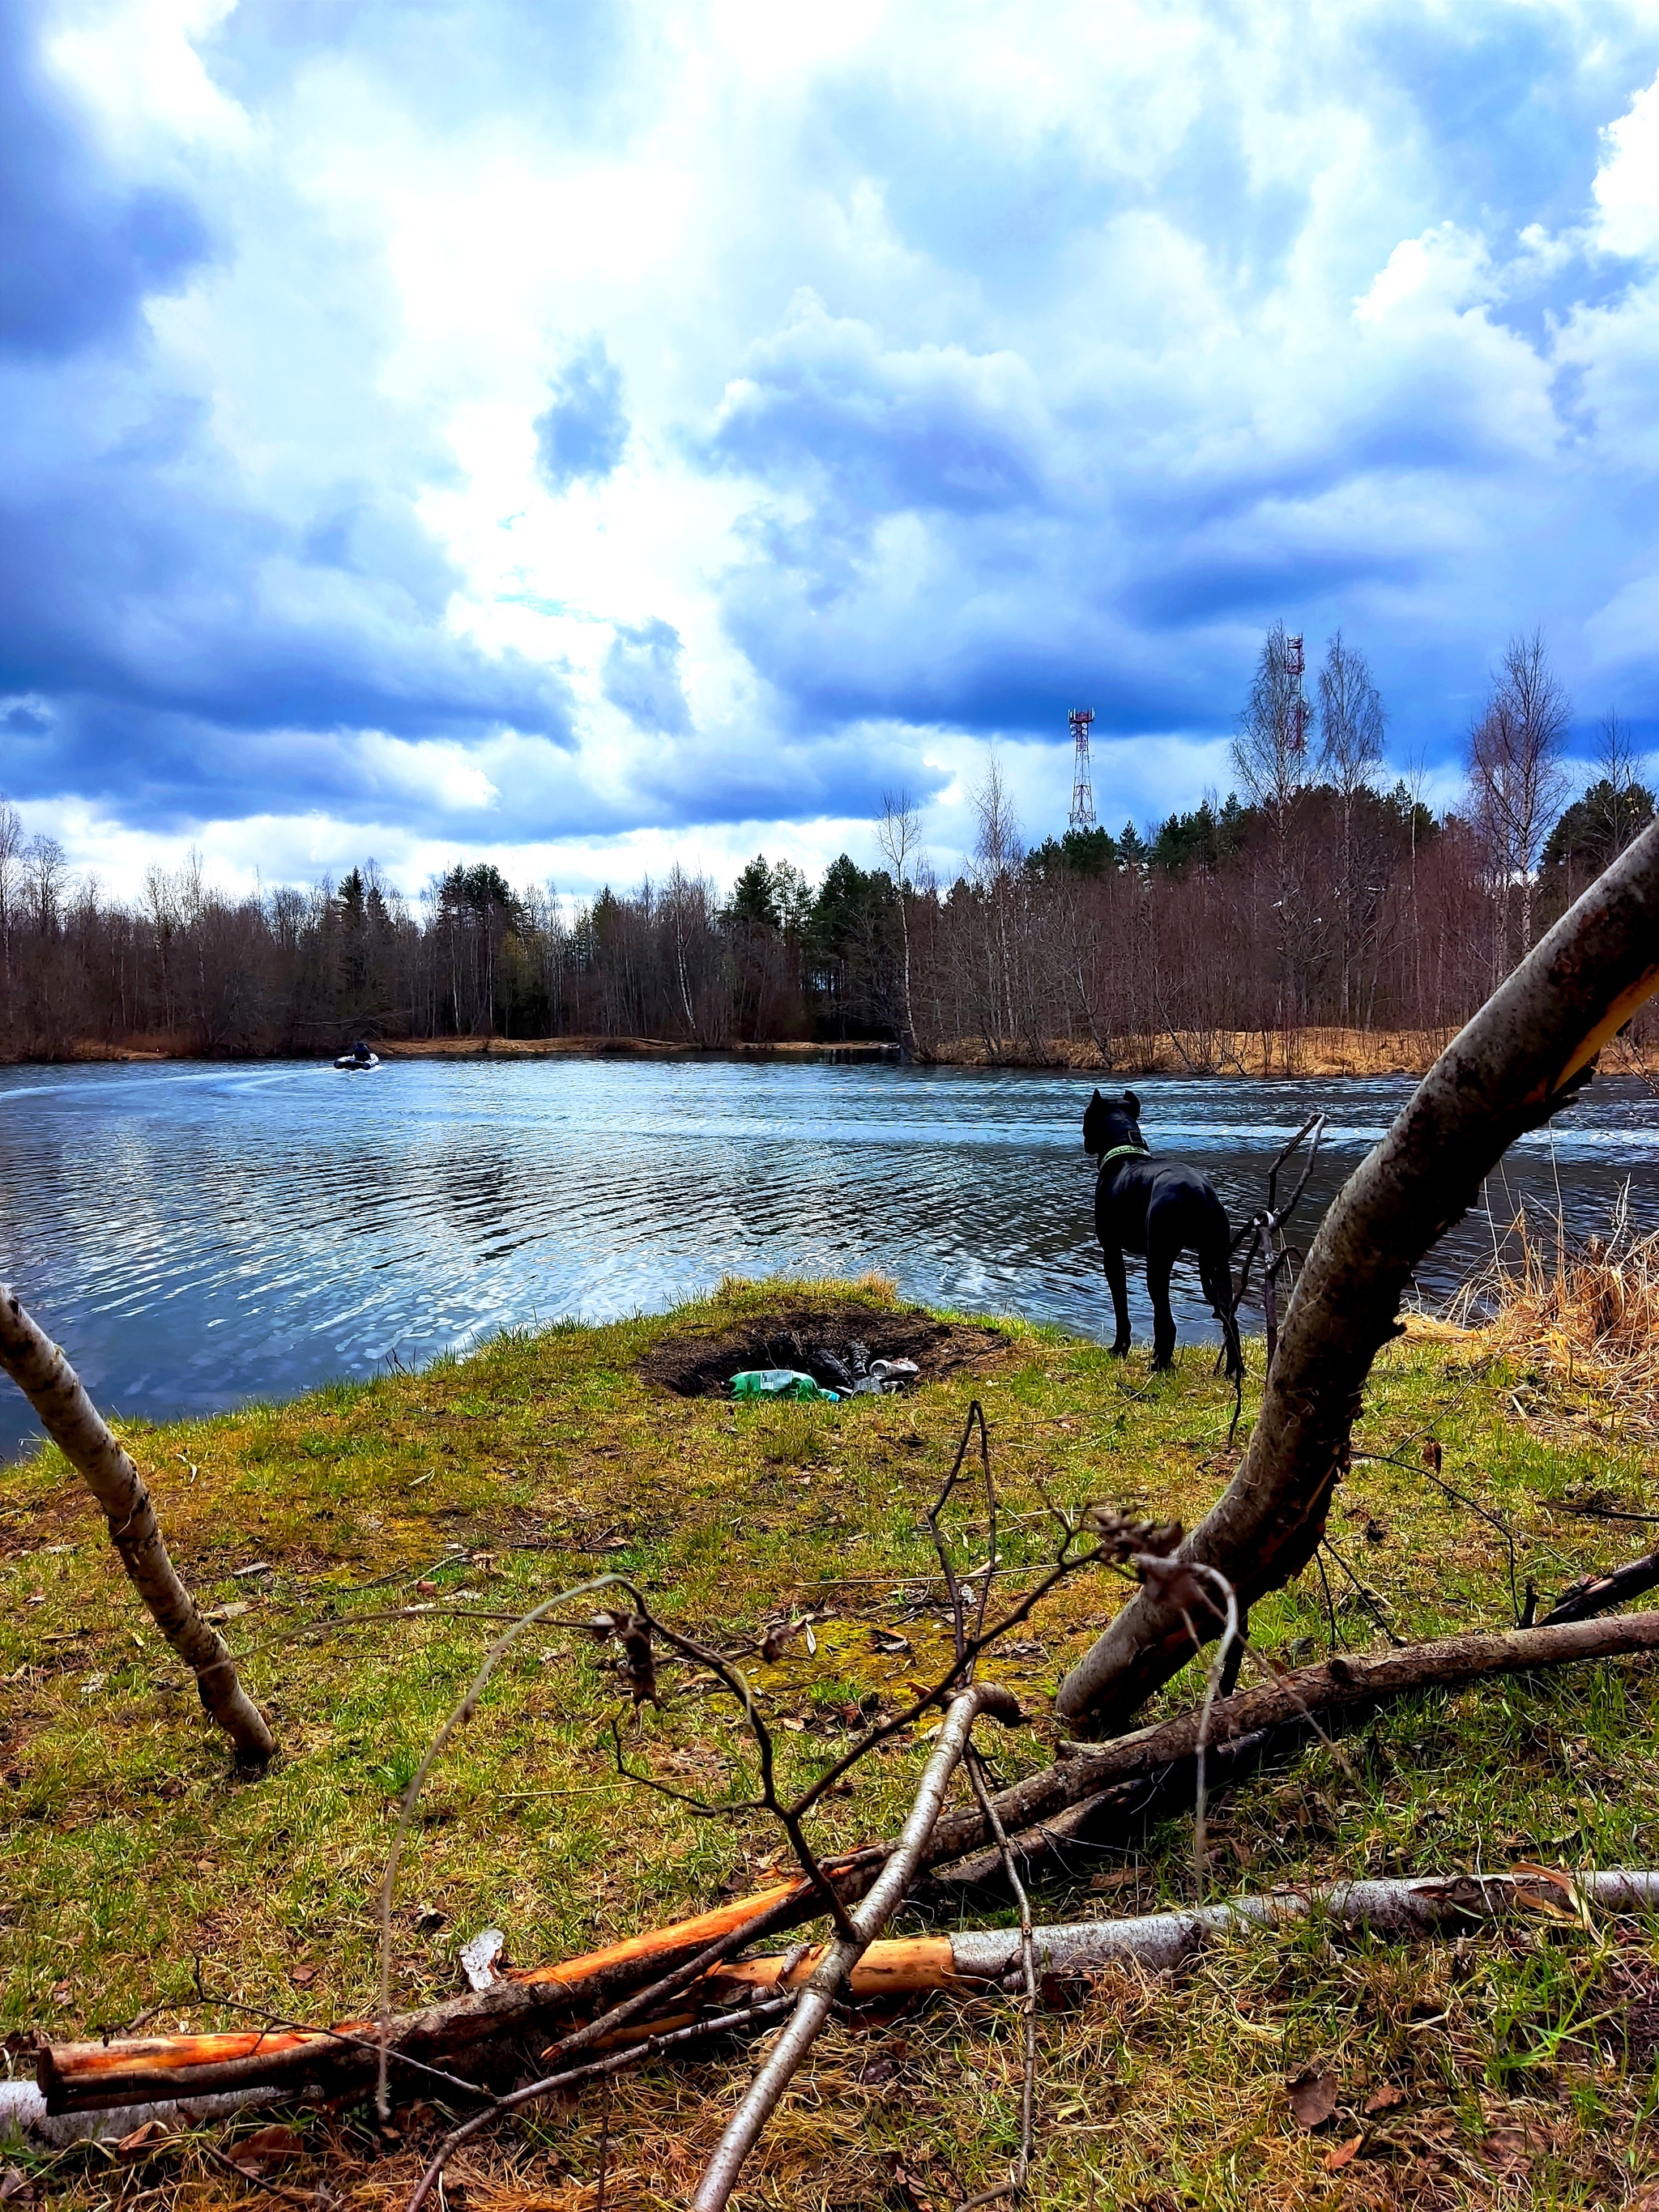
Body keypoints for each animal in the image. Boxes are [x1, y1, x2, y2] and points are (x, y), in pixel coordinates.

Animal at [1084, 1093, 1239, 1380]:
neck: (1125, 1152)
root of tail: (1199, 1192)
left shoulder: (1111, 1253)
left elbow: (1121, 1307)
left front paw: (1119, 1349)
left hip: (1158, 1261)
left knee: (1166, 1322)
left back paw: (1161, 1364)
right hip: (1216, 1264)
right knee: (1229, 1319)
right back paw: (1233, 1370)